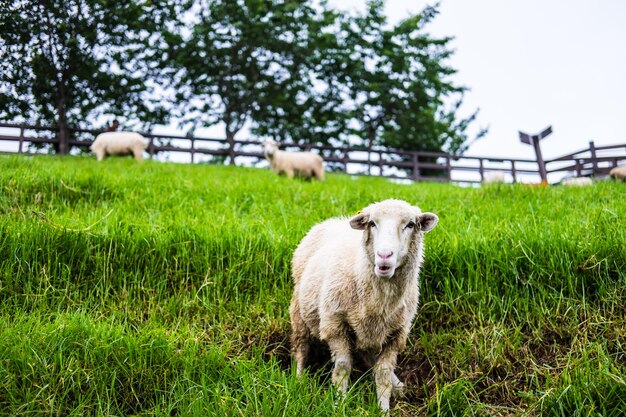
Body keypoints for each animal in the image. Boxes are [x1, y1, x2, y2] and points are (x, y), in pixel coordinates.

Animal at [288, 198, 438, 410]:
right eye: (372, 223)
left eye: (410, 224)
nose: (384, 255)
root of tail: (332, 220)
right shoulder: (335, 325)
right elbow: (343, 368)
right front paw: (339, 405)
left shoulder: (396, 334)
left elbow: (382, 375)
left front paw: (384, 409)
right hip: (299, 312)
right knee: (301, 347)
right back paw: (299, 380)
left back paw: (398, 386)